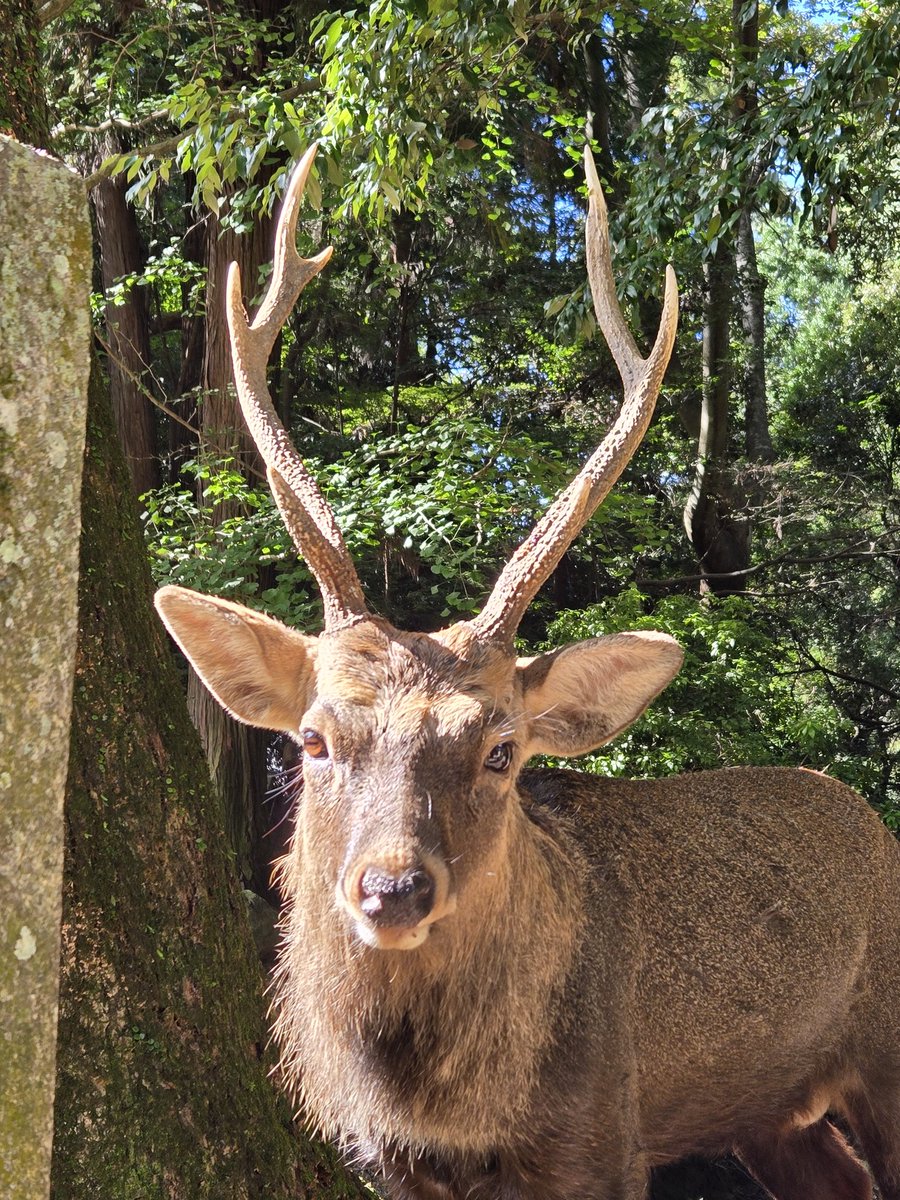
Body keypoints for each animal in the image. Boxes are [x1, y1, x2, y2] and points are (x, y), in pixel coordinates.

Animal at [154, 144, 900, 1200]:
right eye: (314, 739)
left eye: (502, 749)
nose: (392, 889)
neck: (456, 1117)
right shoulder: (387, 1163)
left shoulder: (604, 1134)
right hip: (771, 1114)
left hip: (885, 1049)